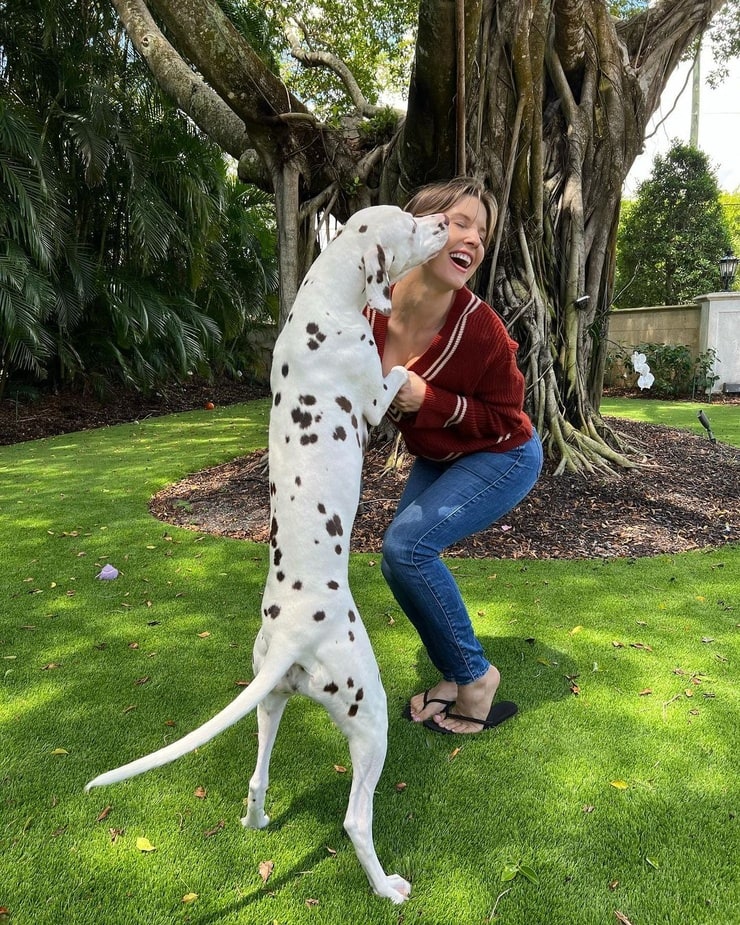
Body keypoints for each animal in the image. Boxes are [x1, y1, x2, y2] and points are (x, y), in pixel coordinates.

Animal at [86, 204, 446, 904]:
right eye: (412, 225)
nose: (445, 221)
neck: (323, 303)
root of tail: (291, 639)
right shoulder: (372, 395)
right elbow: (397, 374)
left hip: (270, 702)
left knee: (256, 778)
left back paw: (257, 821)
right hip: (370, 716)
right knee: (355, 819)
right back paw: (387, 886)